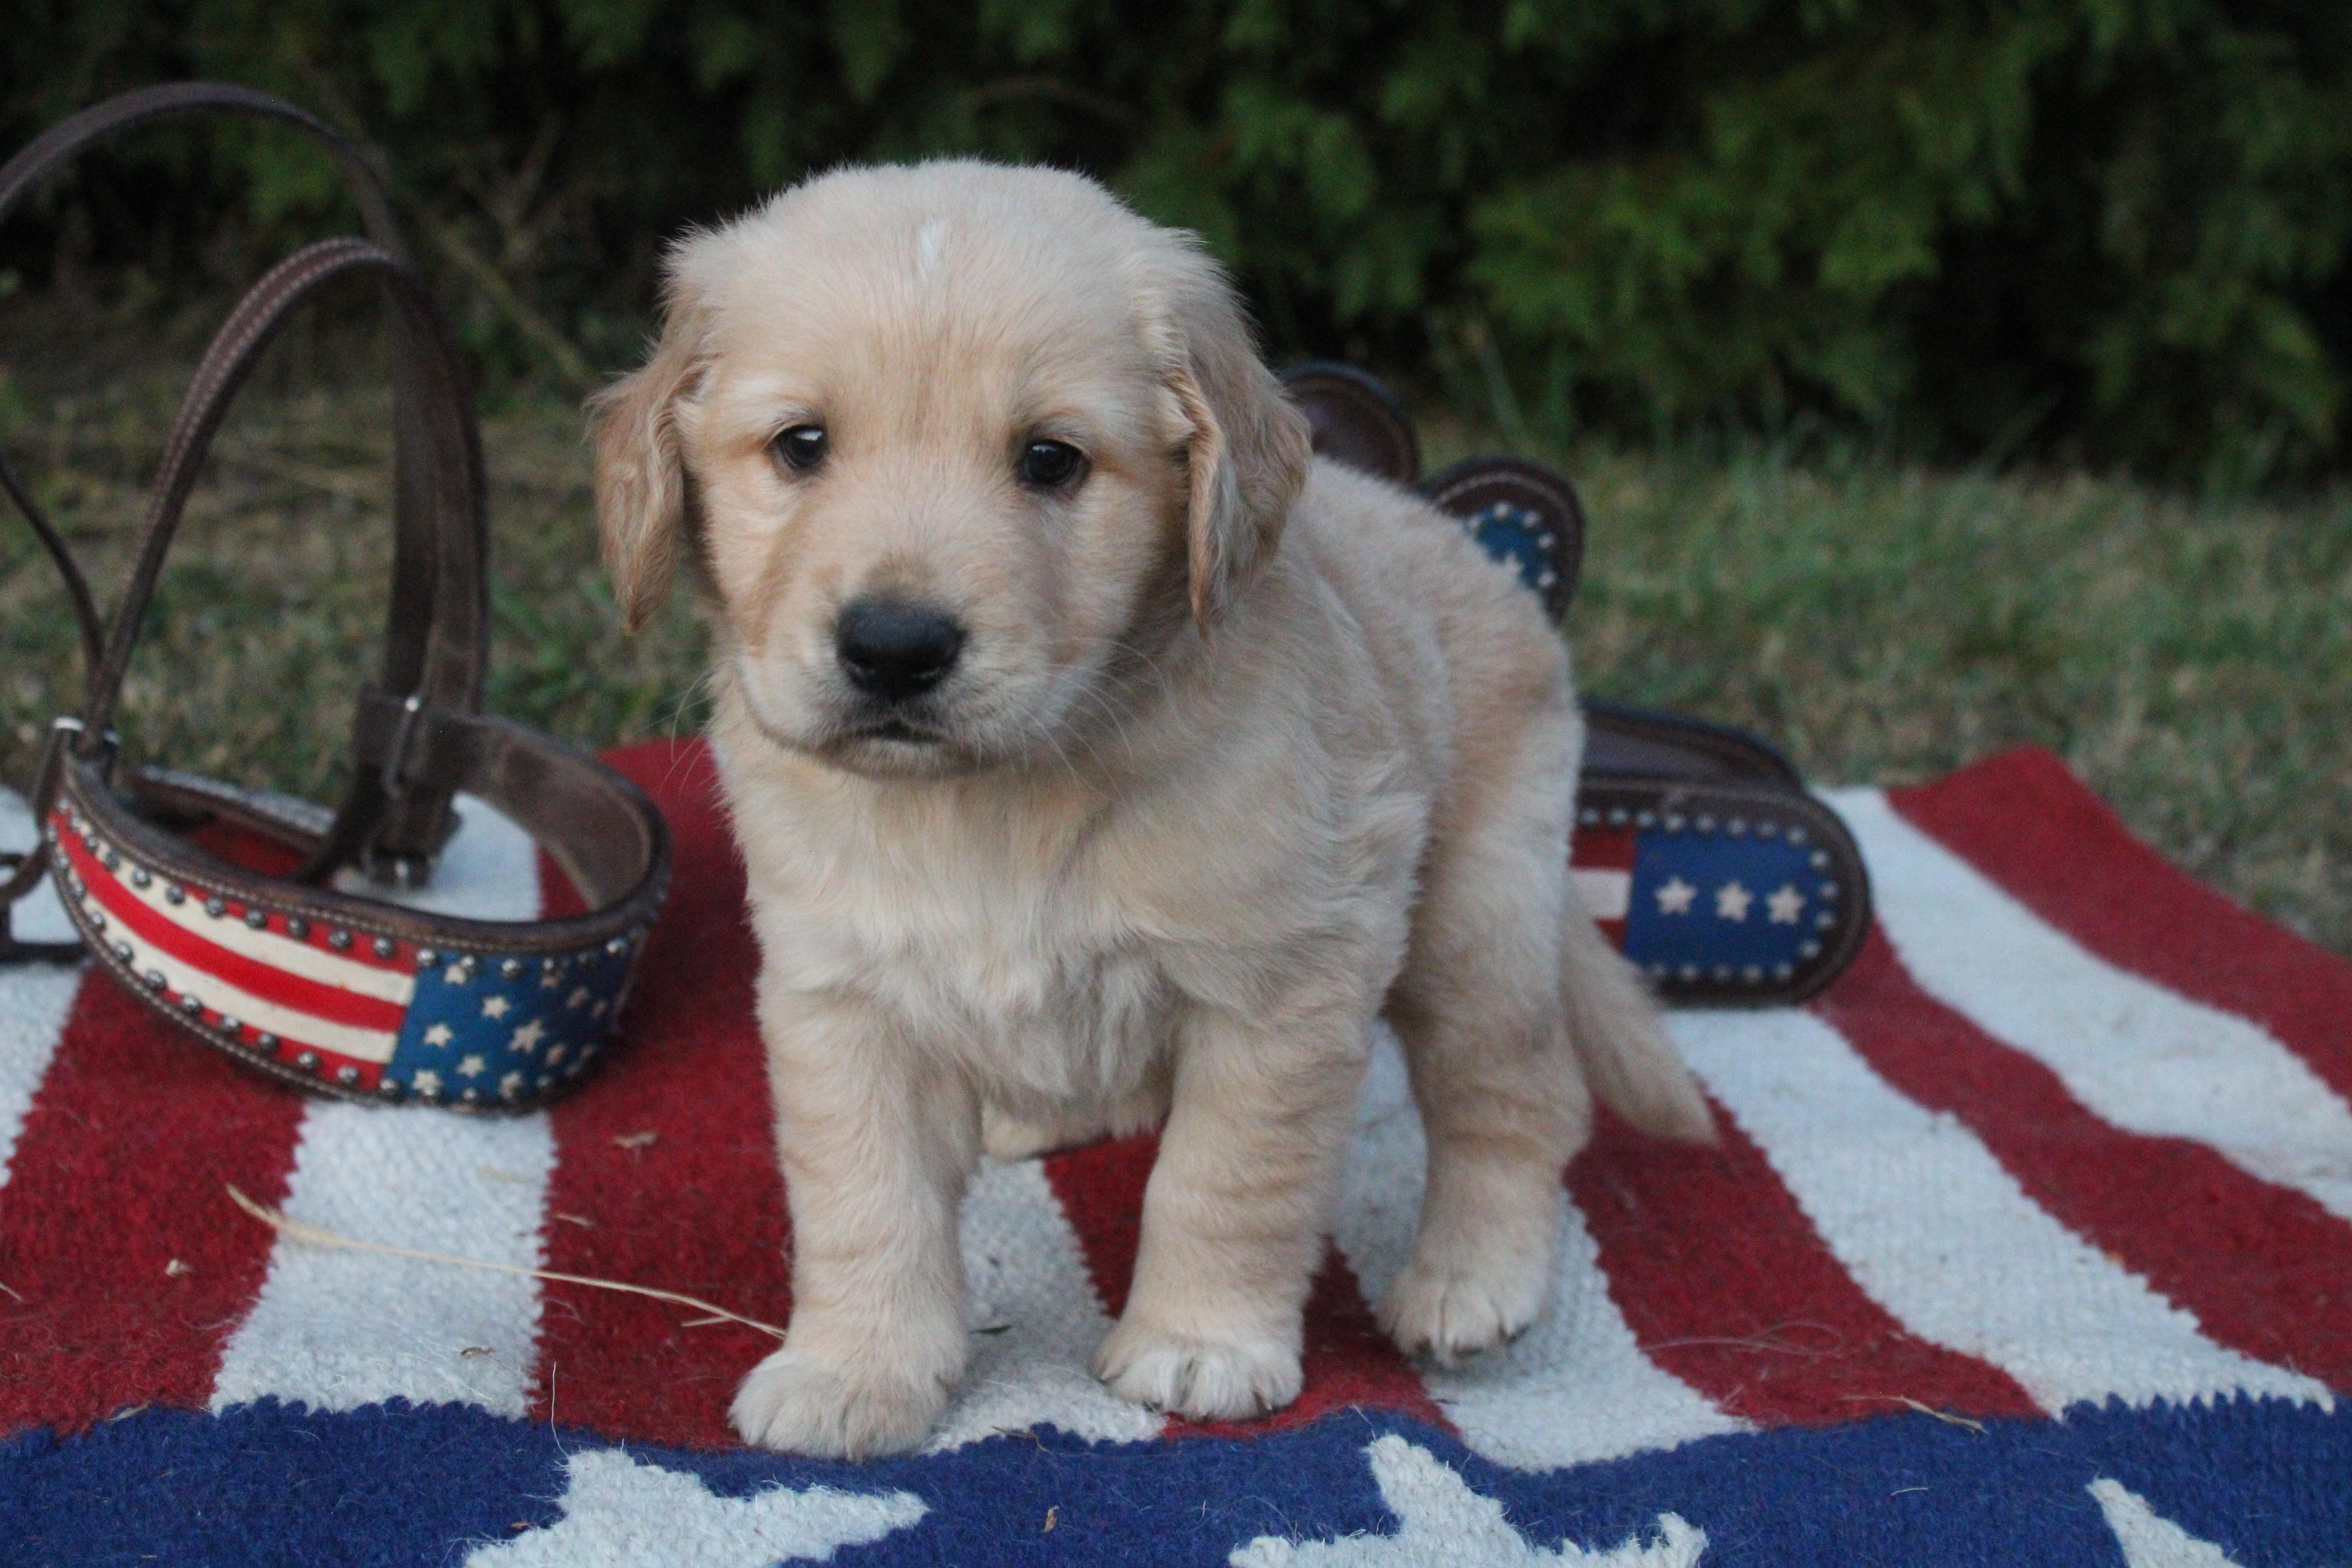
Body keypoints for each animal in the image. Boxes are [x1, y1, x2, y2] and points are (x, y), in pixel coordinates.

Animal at [591, 161, 1714, 1458]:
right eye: (801, 446)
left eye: (1051, 460)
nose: (894, 647)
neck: (992, 802)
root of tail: (1476, 554)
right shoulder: (842, 991)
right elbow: (865, 1195)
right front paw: (853, 1368)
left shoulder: (1281, 985)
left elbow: (1221, 1178)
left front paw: (1200, 1341)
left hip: (1478, 909)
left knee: (1517, 1092)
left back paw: (1470, 1278)